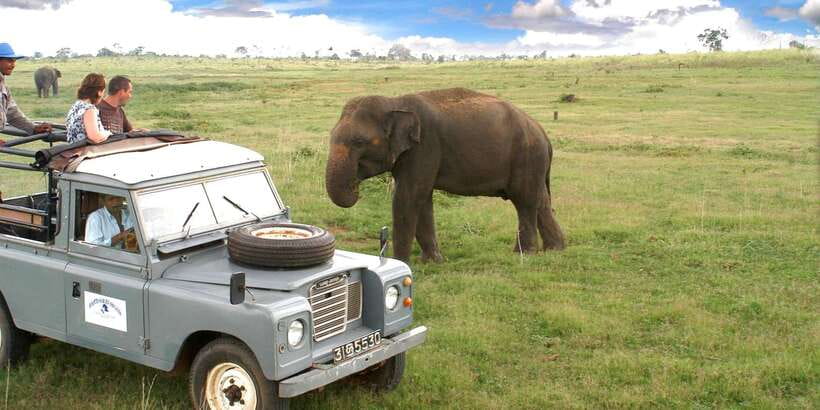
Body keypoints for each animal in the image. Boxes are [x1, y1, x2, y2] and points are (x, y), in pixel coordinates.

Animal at [325, 87, 566, 263]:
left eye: (359, 142)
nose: (355, 185)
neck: (395, 102)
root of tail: (543, 133)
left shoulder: (424, 147)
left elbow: (408, 197)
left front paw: (401, 263)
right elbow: (423, 199)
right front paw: (433, 262)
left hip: (527, 156)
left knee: (524, 200)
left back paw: (524, 254)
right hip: (533, 162)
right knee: (541, 201)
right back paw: (556, 250)